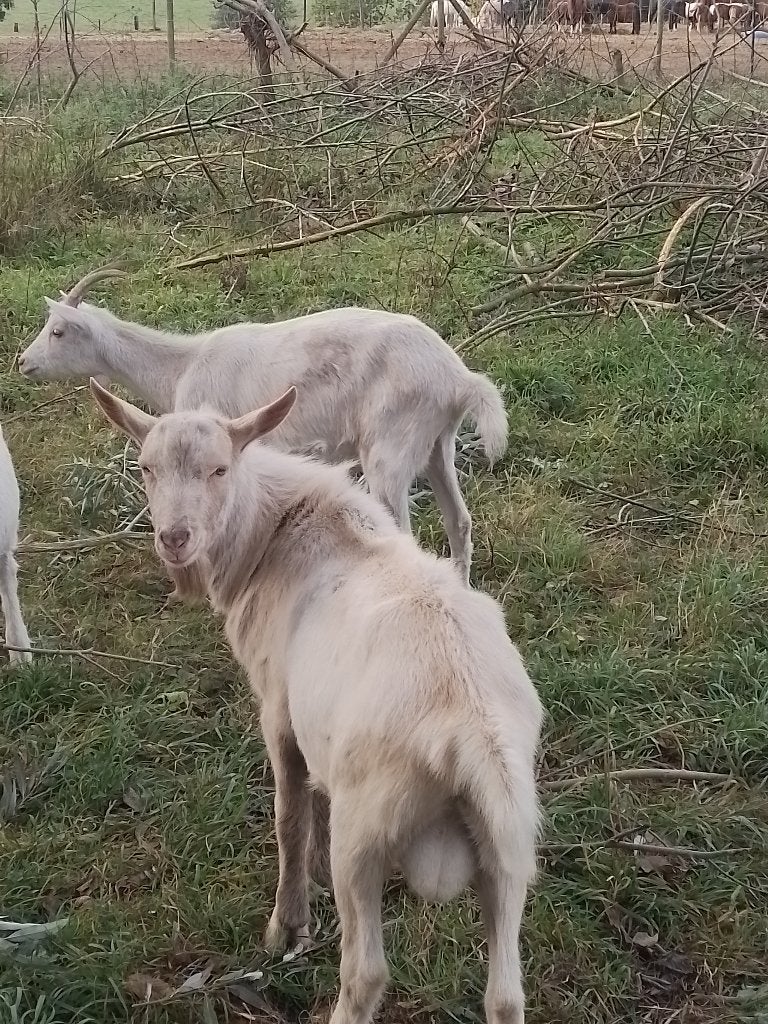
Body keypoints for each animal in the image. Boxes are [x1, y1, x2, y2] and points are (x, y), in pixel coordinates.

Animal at [19, 269, 508, 585]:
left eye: (58, 331)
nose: (23, 362)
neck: (181, 366)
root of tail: (458, 379)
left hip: (390, 446)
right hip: (436, 444)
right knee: (460, 521)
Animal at [90, 378, 543, 1024]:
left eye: (220, 468)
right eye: (147, 468)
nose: (174, 539)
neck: (276, 533)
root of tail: (471, 736)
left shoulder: (280, 712)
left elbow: (290, 818)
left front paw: (287, 925)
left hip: (370, 831)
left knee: (366, 972)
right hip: (509, 844)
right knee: (505, 995)